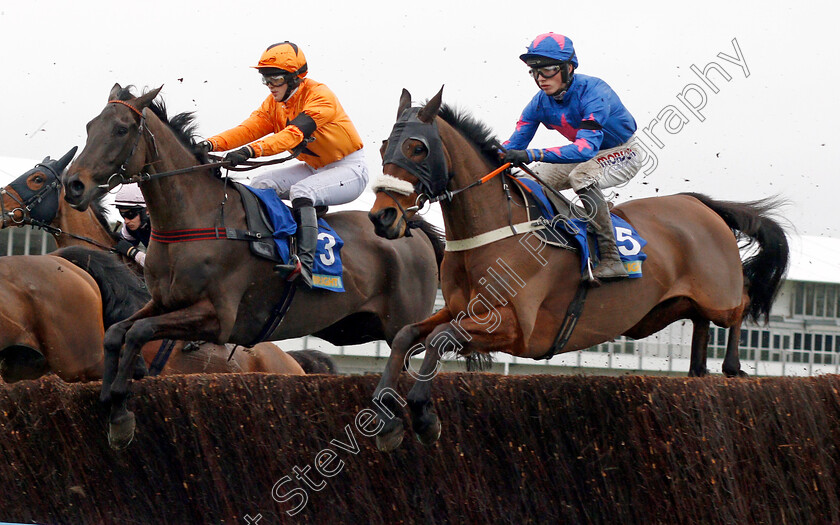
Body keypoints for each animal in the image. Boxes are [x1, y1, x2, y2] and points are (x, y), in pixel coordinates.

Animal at [62, 84, 442, 448]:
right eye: (90, 126)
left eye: (121, 129)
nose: (73, 185)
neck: (201, 219)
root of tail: (408, 226)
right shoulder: (163, 302)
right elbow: (116, 332)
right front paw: (111, 403)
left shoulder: (217, 318)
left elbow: (139, 332)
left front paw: (120, 407)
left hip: (401, 323)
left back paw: (407, 421)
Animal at [366, 88, 788, 448]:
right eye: (385, 145)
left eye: (417, 147)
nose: (382, 217)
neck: (495, 231)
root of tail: (701, 203)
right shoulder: (459, 310)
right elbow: (406, 335)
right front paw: (386, 422)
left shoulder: (515, 327)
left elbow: (439, 340)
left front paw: (424, 417)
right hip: (673, 306)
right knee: (701, 320)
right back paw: (698, 368)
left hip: (718, 293)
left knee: (741, 302)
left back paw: (732, 366)